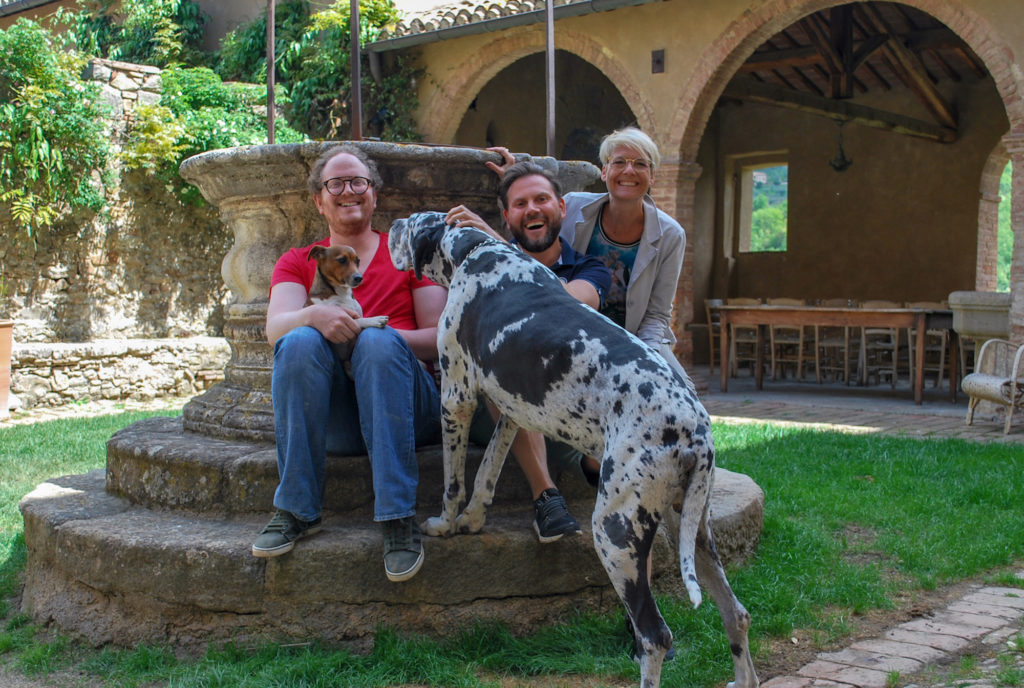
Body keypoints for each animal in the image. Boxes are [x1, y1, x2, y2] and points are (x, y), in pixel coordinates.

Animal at [387, 210, 757, 688]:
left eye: (410, 222)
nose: (389, 224)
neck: (476, 251)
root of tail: (696, 433)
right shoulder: (514, 412)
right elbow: (487, 470)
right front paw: (473, 519)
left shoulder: (456, 396)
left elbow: (454, 483)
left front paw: (445, 524)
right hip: (692, 528)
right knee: (737, 614)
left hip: (615, 532)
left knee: (655, 636)